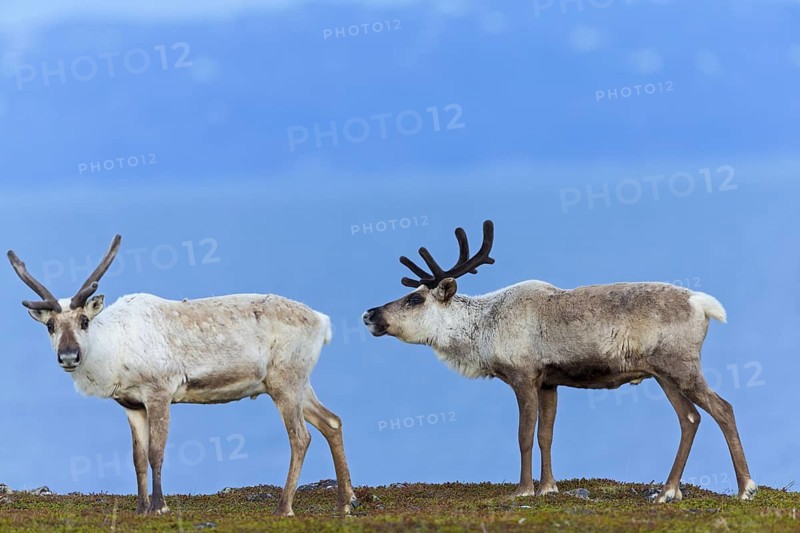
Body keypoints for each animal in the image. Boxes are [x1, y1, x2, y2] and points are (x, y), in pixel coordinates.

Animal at [7, 235, 358, 517]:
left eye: (84, 321)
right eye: (50, 325)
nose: (68, 356)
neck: (114, 354)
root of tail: (323, 322)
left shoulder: (160, 391)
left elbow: (156, 452)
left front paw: (159, 506)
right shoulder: (131, 405)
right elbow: (137, 457)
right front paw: (140, 508)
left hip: (285, 380)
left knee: (301, 436)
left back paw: (284, 508)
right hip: (297, 382)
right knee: (332, 421)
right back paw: (345, 502)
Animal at [362, 220, 757, 503]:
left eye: (414, 299)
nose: (369, 314)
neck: (483, 329)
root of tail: (701, 304)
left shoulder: (523, 376)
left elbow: (523, 435)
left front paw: (522, 490)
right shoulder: (550, 381)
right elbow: (546, 435)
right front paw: (548, 487)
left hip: (680, 366)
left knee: (722, 408)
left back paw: (745, 488)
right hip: (662, 374)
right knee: (689, 418)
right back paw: (667, 491)